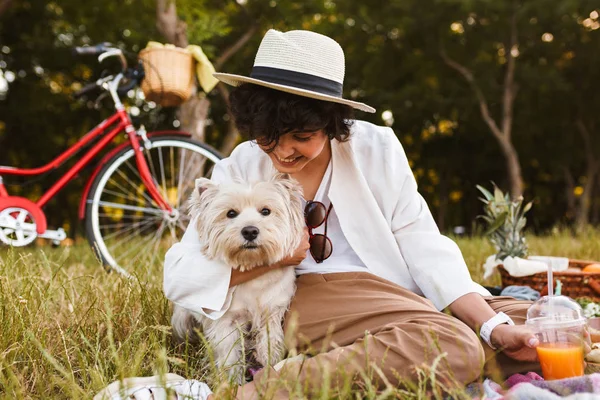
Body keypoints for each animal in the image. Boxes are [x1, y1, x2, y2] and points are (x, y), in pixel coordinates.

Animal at [172, 173, 304, 382]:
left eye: (266, 211)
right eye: (231, 213)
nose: (250, 231)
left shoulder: (272, 313)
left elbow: (269, 344)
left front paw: (270, 368)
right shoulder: (227, 322)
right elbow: (229, 356)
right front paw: (232, 383)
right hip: (182, 317)